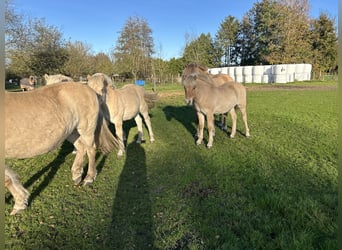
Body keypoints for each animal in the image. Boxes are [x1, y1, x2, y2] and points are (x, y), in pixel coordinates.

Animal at [4, 82, 120, 215]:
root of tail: (89, 89)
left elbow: (6, 179)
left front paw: (19, 204)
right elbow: (9, 178)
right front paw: (21, 202)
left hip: (86, 129)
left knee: (91, 149)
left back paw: (89, 178)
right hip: (72, 132)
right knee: (81, 147)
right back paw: (76, 175)